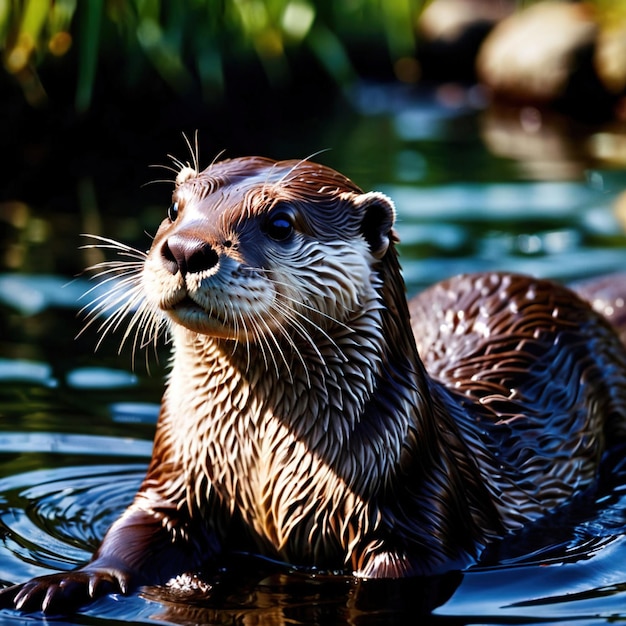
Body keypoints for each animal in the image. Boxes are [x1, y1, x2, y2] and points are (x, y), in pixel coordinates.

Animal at [1, 154, 624, 612]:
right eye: (175, 207)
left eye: (280, 223)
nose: (184, 249)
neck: (262, 469)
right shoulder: (179, 474)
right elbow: (131, 534)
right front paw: (66, 581)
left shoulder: (419, 513)